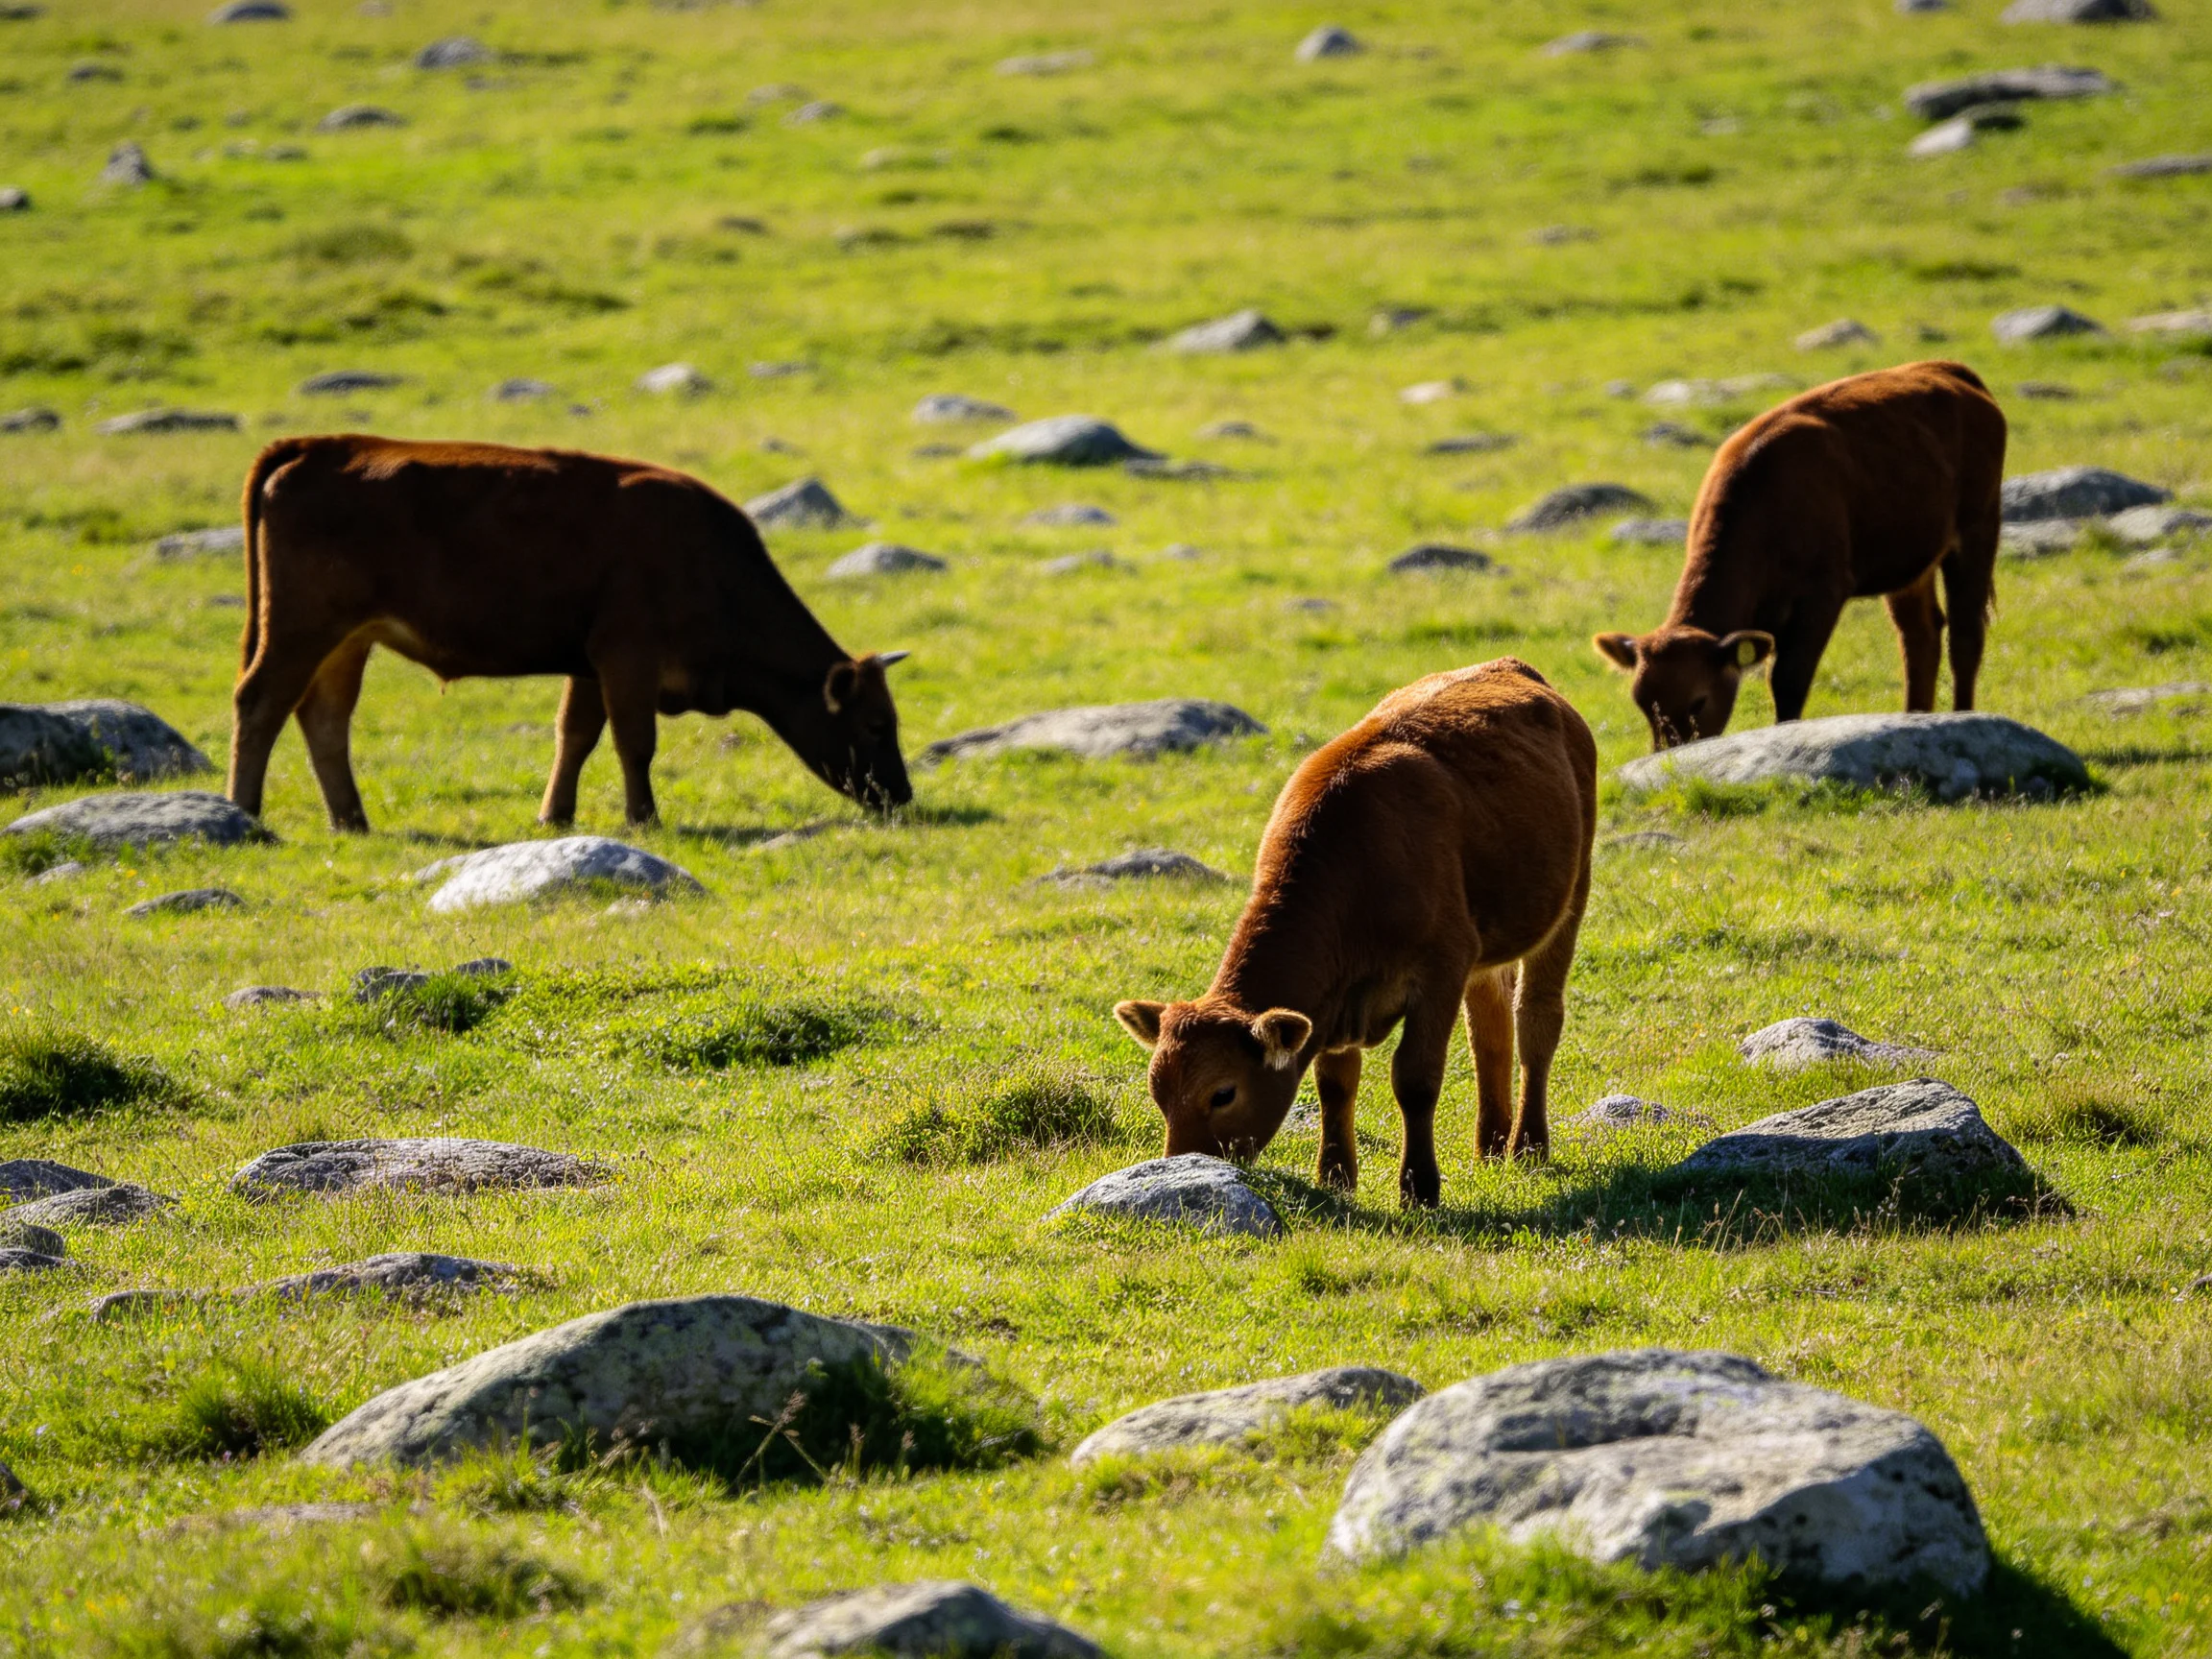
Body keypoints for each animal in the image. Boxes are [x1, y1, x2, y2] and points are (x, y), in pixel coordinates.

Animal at [225, 435, 913, 831]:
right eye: (876, 724)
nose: (903, 795)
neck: (708, 564)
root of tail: (316, 446)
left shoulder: (589, 663)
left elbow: (576, 736)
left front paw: (555, 816)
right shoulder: (627, 655)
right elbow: (635, 742)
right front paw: (643, 818)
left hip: (348, 638)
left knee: (323, 716)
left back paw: (351, 820)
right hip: (302, 626)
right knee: (261, 702)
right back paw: (243, 813)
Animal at [1112, 659, 1596, 1209]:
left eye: (1223, 1092)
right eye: (1158, 1092)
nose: (1182, 1165)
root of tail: (1510, 666)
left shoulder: (1442, 964)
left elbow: (1415, 1078)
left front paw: (1419, 1188)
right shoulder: (1339, 997)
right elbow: (1335, 1084)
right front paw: (1336, 1177)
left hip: (1569, 897)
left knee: (1536, 1019)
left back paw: (1529, 1146)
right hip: (1488, 945)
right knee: (1491, 1030)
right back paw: (1491, 1147)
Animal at [1593, 360, 2007, 748]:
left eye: (1699, 701)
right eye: (1643, 705)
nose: (1670, 753)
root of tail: (1944, 369)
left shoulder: (1823, 593)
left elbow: (1788, 679)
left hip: (1979, 527)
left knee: (1965, 635)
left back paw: (1965, 718)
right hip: (1910, 560)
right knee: (1920, 635)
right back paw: (1917, 718)